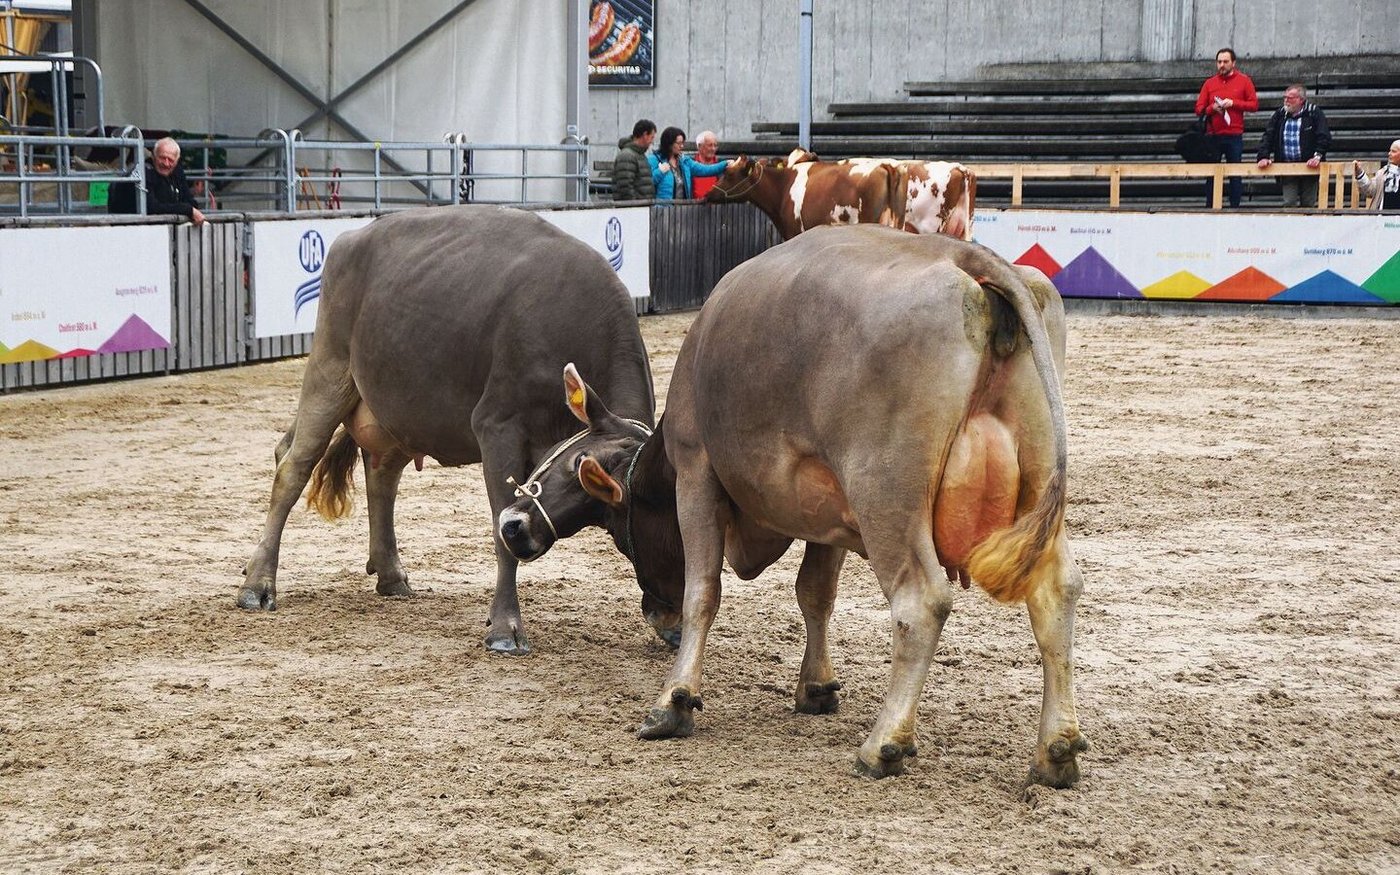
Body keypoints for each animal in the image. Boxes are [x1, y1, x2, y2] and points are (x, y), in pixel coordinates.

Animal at [238, 205, 664, 656]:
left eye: (610, 516)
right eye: (578, 466)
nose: (525, 536)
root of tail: (353, 236)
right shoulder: (497, 426)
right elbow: (498, 529)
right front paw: (505, 625)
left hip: (400, 406)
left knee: (378, 474)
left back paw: (390, 574)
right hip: (330, 367)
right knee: (294, 465)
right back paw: (258, 583)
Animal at [496, 224, 1088, 786]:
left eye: (623, 536)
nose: (513, 522)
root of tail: (963, 255)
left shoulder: (698, 475)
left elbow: (701, 591)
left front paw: (675, 700)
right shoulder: (830, 514)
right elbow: (815, 593)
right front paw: (816, 685)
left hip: (885, 496)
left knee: (921, 603)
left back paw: (885, 743)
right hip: (1032, 490)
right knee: (1056, 592)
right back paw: (1055, 749)